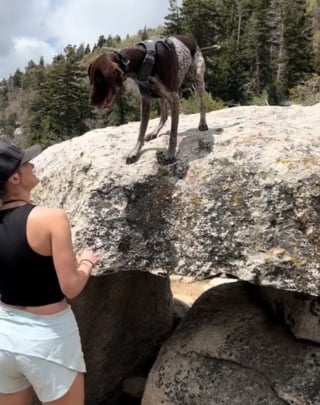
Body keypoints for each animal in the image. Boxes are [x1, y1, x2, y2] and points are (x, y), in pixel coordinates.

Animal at [87, 34, 218, 163]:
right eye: (92, 80)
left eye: (99, 80)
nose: (91, 102)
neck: (144, 59)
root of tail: (192, 40)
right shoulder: (146, 99)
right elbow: (141, 130)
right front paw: (135, 151)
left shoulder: (174, 98)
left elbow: (173, 133)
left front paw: (171, 153)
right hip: (160, 95)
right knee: (164, 116)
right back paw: (155, 132)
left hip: (198, 80)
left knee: (202, 103)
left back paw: (203, 123)